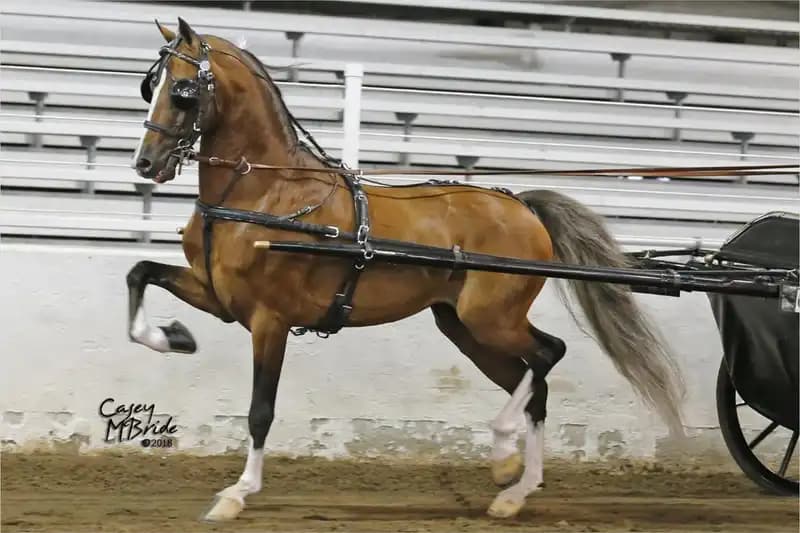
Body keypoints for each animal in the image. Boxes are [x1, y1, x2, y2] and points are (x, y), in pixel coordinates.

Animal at [128, 18, 686, 522]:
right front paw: (172, 336)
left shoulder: (271, 320)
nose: (145, 164)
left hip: (491, 319)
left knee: (549, 355)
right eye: (149, 87)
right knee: (535, 383)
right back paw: (514, 490)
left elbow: (260, 411)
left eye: (182, 91)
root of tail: (521, 205)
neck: (265, 193)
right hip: (463, 327)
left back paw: (504, 454)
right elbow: (140, 272)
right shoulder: (216, 295)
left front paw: (237, 494)